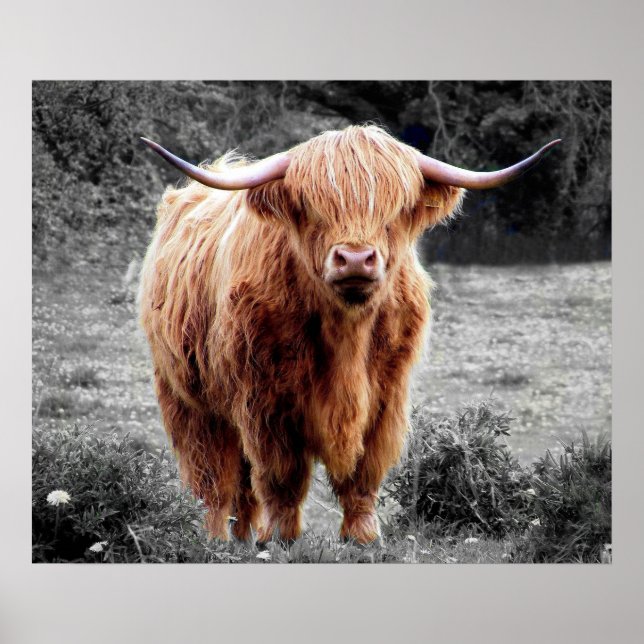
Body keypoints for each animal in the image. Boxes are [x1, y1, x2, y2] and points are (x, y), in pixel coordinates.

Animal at [139, 125, 559, 544]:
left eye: (394, 210)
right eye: (312, 207)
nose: (356, 259)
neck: (347, 336)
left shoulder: (385, 398)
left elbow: (364, 472)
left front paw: (363, 536)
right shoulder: (265, 401)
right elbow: (281, 475)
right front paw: (280, 538)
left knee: (240, 485)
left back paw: (242, 537)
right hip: (188, 400)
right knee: (212, 478)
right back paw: (215, 538)